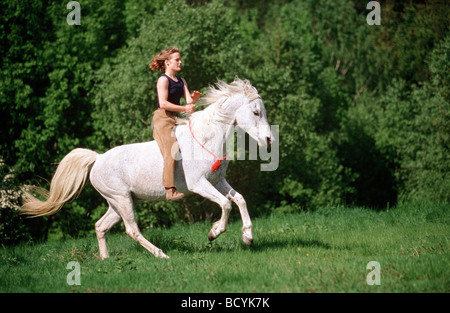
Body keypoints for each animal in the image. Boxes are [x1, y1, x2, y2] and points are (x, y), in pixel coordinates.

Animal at [22, 78, 274, 258]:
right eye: (255, 112)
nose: (269, 140)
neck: (206, 139)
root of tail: (98, 159)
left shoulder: (217, 181)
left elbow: (239, 200)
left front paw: (248, 237)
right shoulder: (199, 184)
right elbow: (225, 204)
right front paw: (213, 233)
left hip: (117, 203)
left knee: (100, 226)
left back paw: (105, 260)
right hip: (122, 199)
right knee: (131, 230)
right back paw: (162, 255)